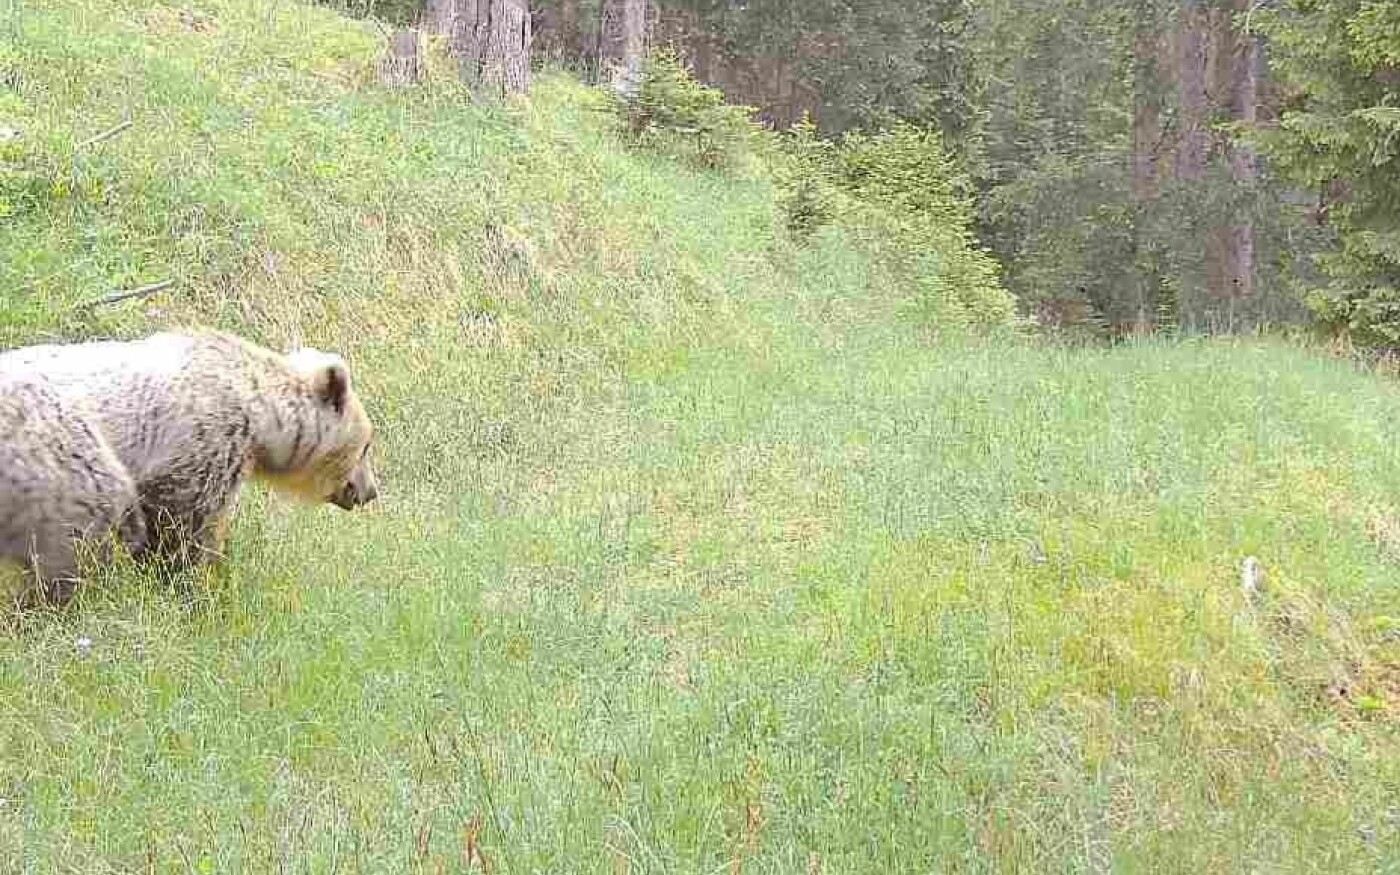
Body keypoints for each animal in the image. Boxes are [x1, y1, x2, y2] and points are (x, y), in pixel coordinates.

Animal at [0, 327, 379, 605]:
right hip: (54, 456)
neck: (262, 420)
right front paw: (192, 586)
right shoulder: (204, 442)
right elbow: (183, 530)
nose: (370, 491)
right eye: (366, 446)